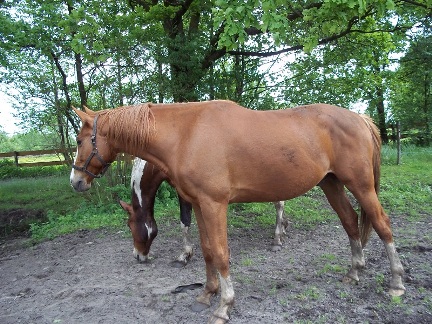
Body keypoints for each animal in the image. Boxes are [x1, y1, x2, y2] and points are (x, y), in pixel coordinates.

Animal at [118, 157, 288, 266]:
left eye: (129, 226)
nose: (137, 255)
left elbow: (185, 221)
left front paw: (185, 255)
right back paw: (283, 228)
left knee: (279, 203)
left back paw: (277, 240)